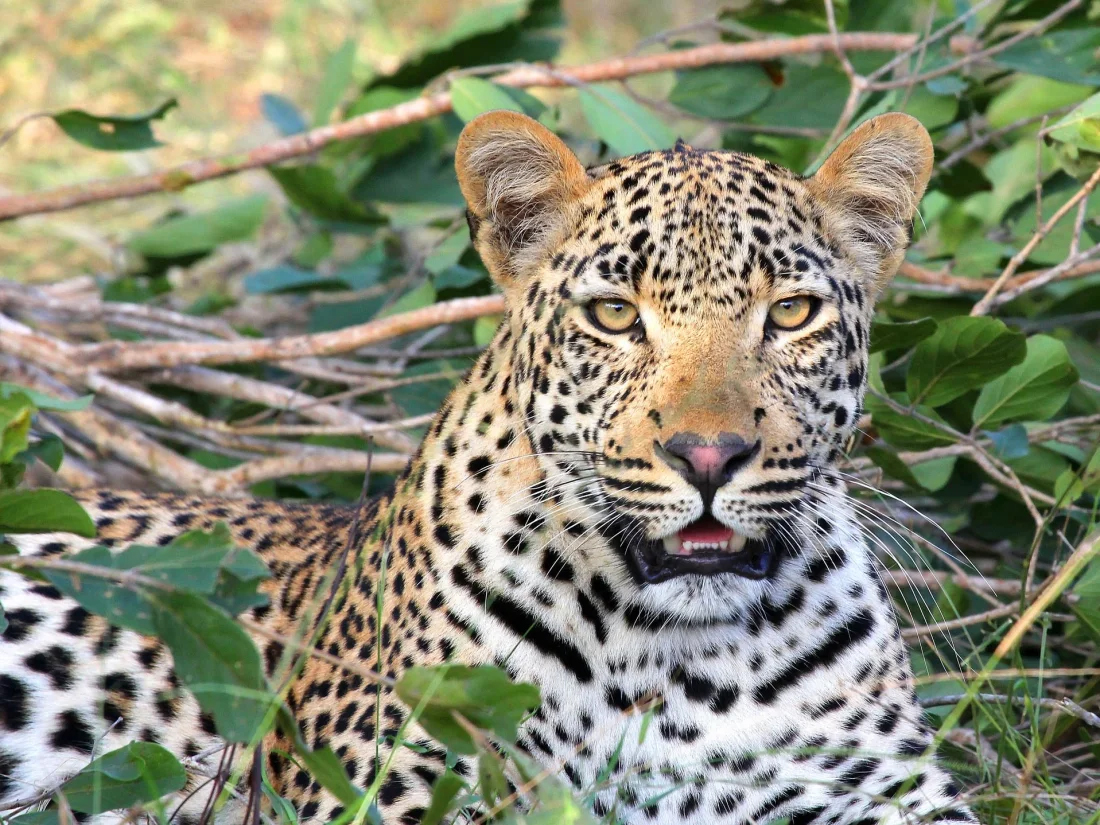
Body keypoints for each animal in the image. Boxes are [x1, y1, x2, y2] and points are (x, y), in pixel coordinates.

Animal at [0, 110, 977, 825]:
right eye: (615, 315)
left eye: (793, 312)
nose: (709, 455)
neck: (678, 662)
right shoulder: (392, 786)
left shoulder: (883, 794)